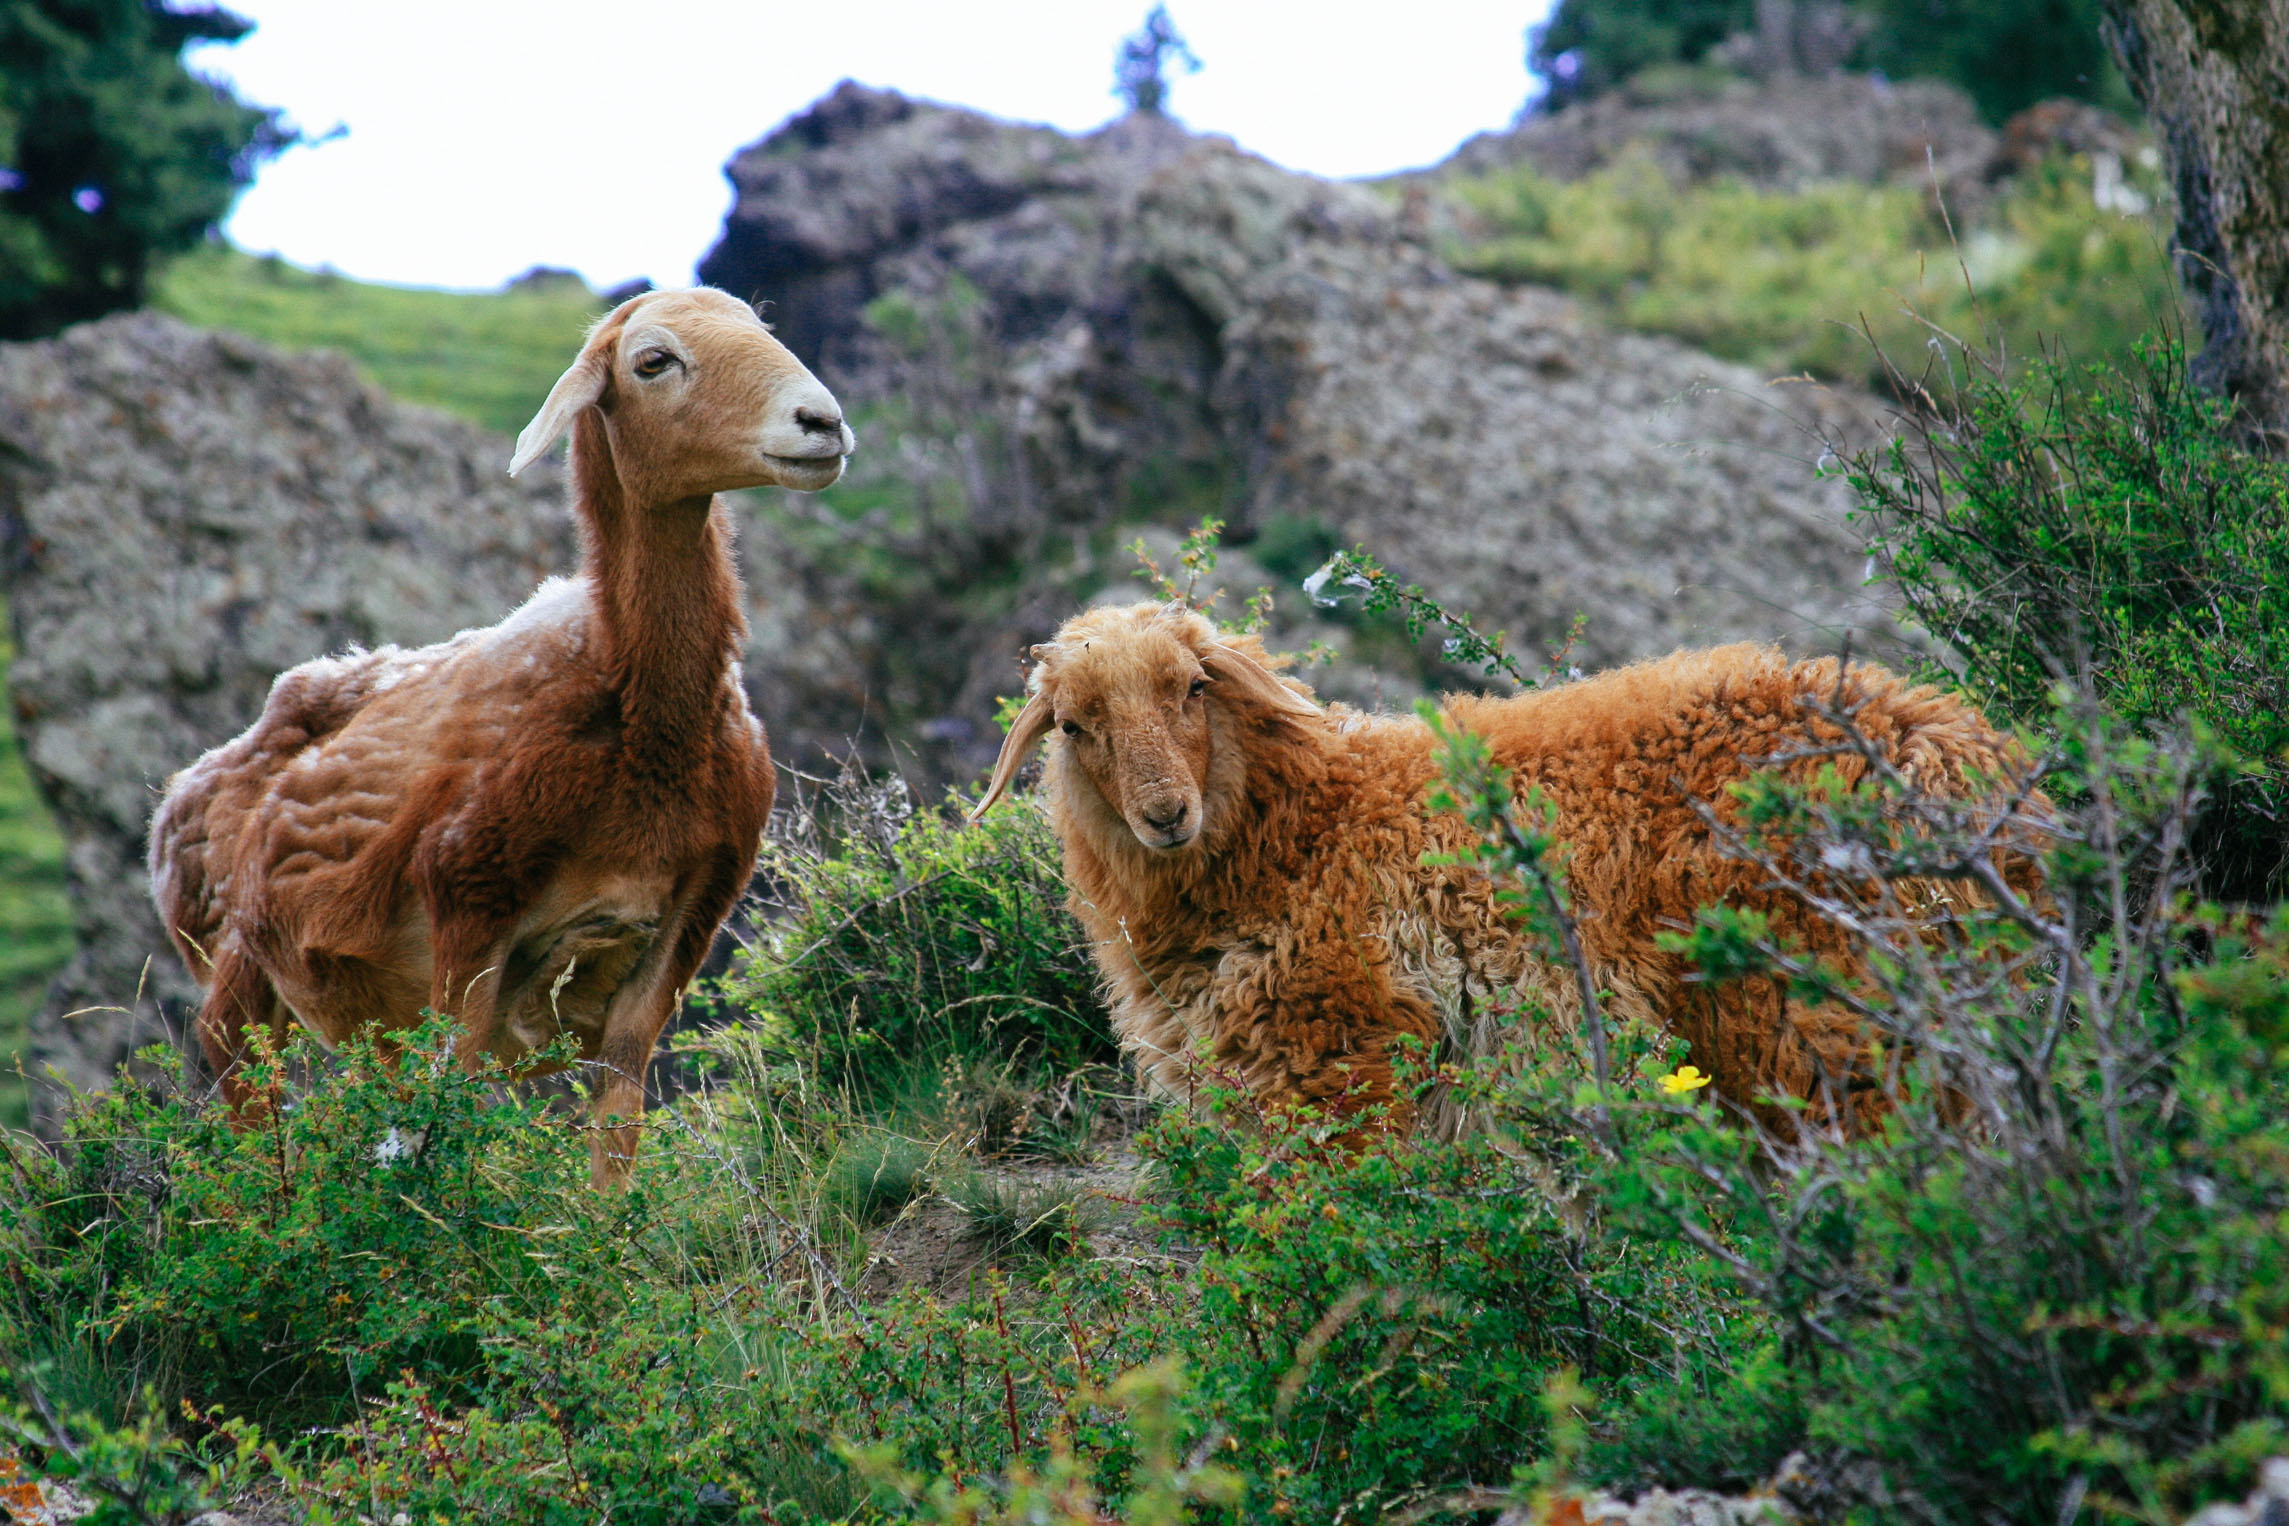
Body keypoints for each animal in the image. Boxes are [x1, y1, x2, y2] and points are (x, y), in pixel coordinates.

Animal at [149, 289, 860, 1189]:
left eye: (763, 328)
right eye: (653, 361)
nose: (821, 421)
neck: (643, 722)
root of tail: (182, 791)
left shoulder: (684, 922)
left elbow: (615, 1135)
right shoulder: (468, 903)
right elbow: (442, 1127)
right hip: (235, 966)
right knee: (244, 1102)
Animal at [975, 603, 2032, 1139]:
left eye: (1192, 688)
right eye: (1074, 726)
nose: (1165, 815)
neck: (1306, 824)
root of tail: (1954, 747)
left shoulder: (1343, 1055)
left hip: (1817, 1014)